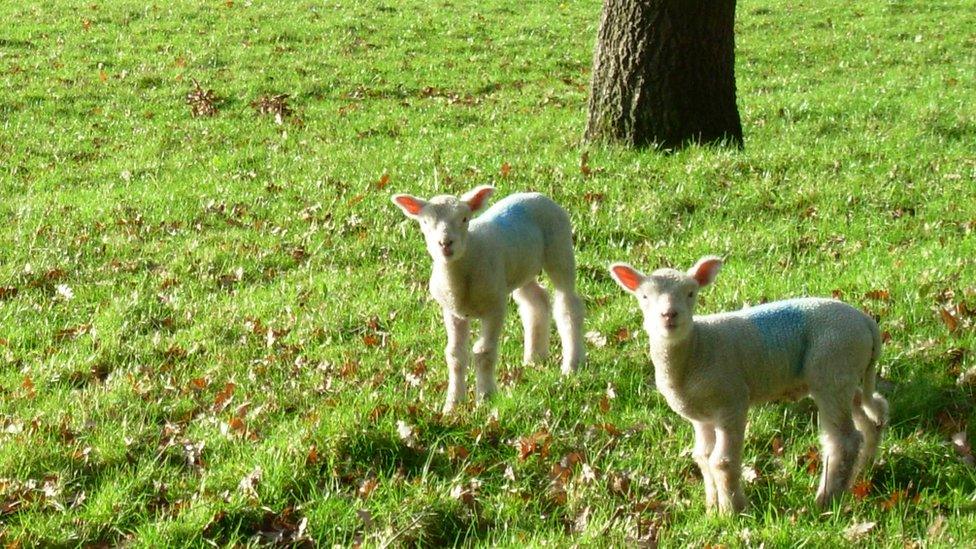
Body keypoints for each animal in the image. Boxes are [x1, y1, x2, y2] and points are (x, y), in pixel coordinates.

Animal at [392, 184, 584, 412]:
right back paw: (534, 358)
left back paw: (572, 365)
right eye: (425, 222)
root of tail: (536, 195)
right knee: (535, 301)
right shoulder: (452, 312)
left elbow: (484, 352)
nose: (445, 243)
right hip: (520, 269)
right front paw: (453, 404)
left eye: (464, 218)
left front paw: (485, 398)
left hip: (559, 249)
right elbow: (455, 355)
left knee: (568, 305)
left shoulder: (495, 307)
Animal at [608, 255, 892, 512]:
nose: (669, 315)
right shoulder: (701, 416)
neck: (696, 349)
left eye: (691, 293)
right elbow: (703, 457)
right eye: (644, 297)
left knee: (843, 440)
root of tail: (866, 322)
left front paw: (733, 512)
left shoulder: (731, 401)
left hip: (832, 367)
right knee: (870, 414)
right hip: (843, 374)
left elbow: (722, 461)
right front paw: (712, 509)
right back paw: (863, 468)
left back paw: (826, 499)